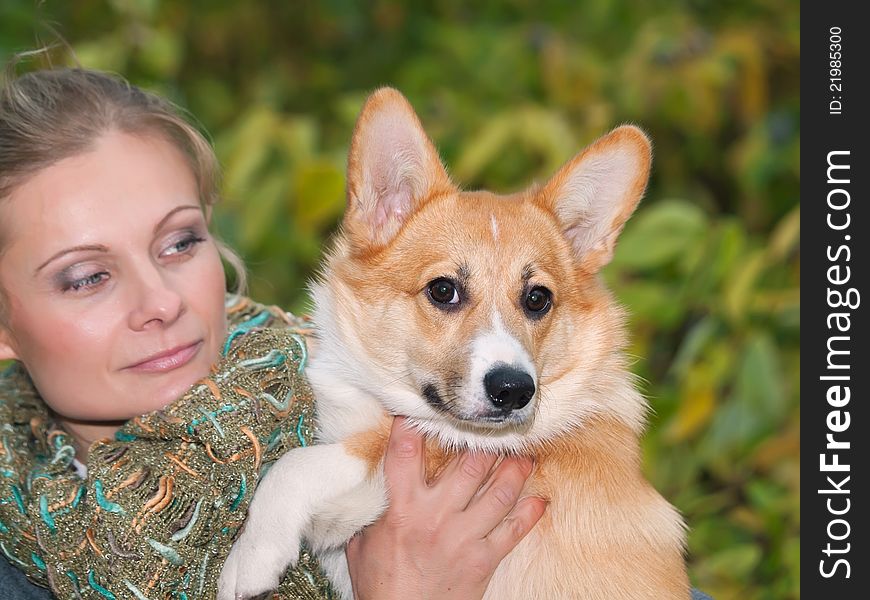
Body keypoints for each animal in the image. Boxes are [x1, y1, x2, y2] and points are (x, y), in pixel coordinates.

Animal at [221, 86, 692, 596]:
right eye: (443, 290)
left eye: (538, 298)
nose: (513, 390)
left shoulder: (402, 464)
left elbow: (294, 467)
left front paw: (249, 558)